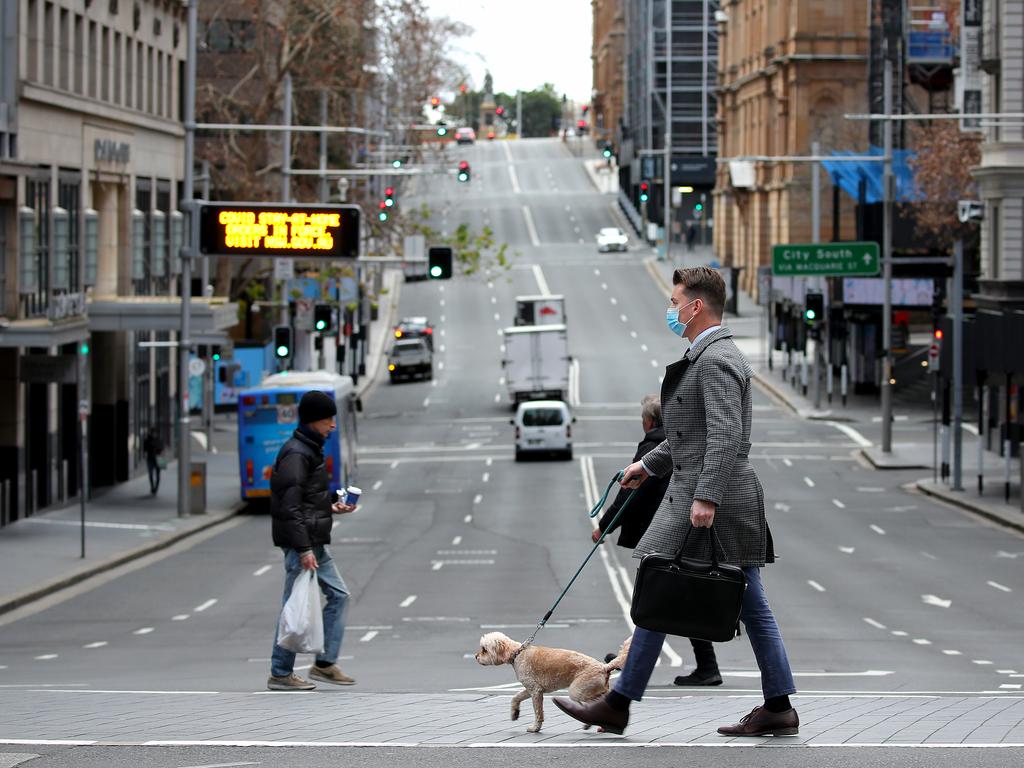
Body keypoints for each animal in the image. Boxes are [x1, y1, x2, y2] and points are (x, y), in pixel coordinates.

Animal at [473, 634, 630, 737]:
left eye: (484, 649)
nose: (476, 656)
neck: (518, 654)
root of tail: (604, 667)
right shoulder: (530, 689)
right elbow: (515, 697)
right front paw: (514, 713)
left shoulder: (535, 691)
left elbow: (538, 713)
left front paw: (535, 728)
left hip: (577, 690)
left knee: (597, 700)